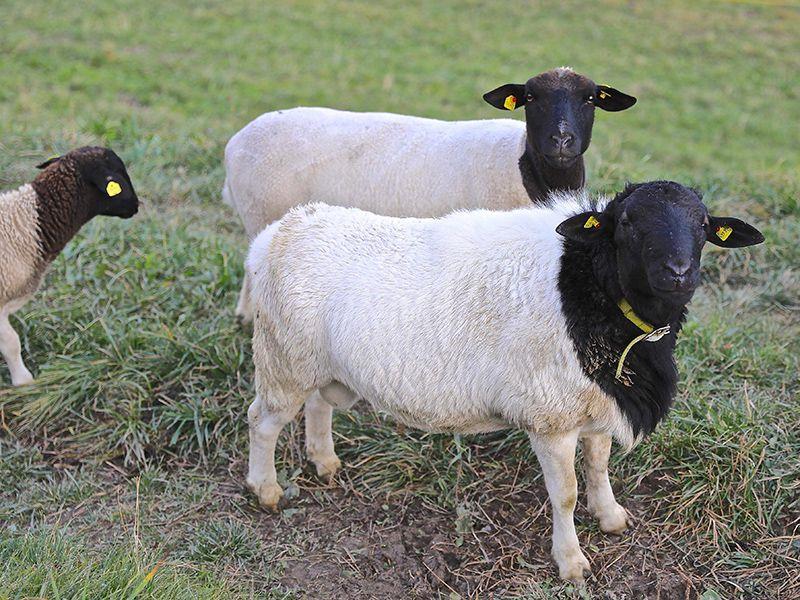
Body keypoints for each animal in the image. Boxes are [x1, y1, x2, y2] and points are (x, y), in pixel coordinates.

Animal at [223, 67, 637, 323]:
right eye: (531, 97)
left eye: (590, 99)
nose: (562, 140)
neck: (524, 164)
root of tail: (236, 140)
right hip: (262, 211)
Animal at [243, 181, 764, 581]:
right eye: (628, 223)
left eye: (703, 226)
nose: (678, 273)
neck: (592, 293)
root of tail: (277, 232)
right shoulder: (551, 417)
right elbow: (566, 493)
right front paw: (571, 562)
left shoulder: (595, 405)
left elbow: (598, 467)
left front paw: (611, 517)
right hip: (283, 357)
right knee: (261, 421)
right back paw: (266, 490)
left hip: (321, 363)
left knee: (319, 404)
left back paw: (324, 461)